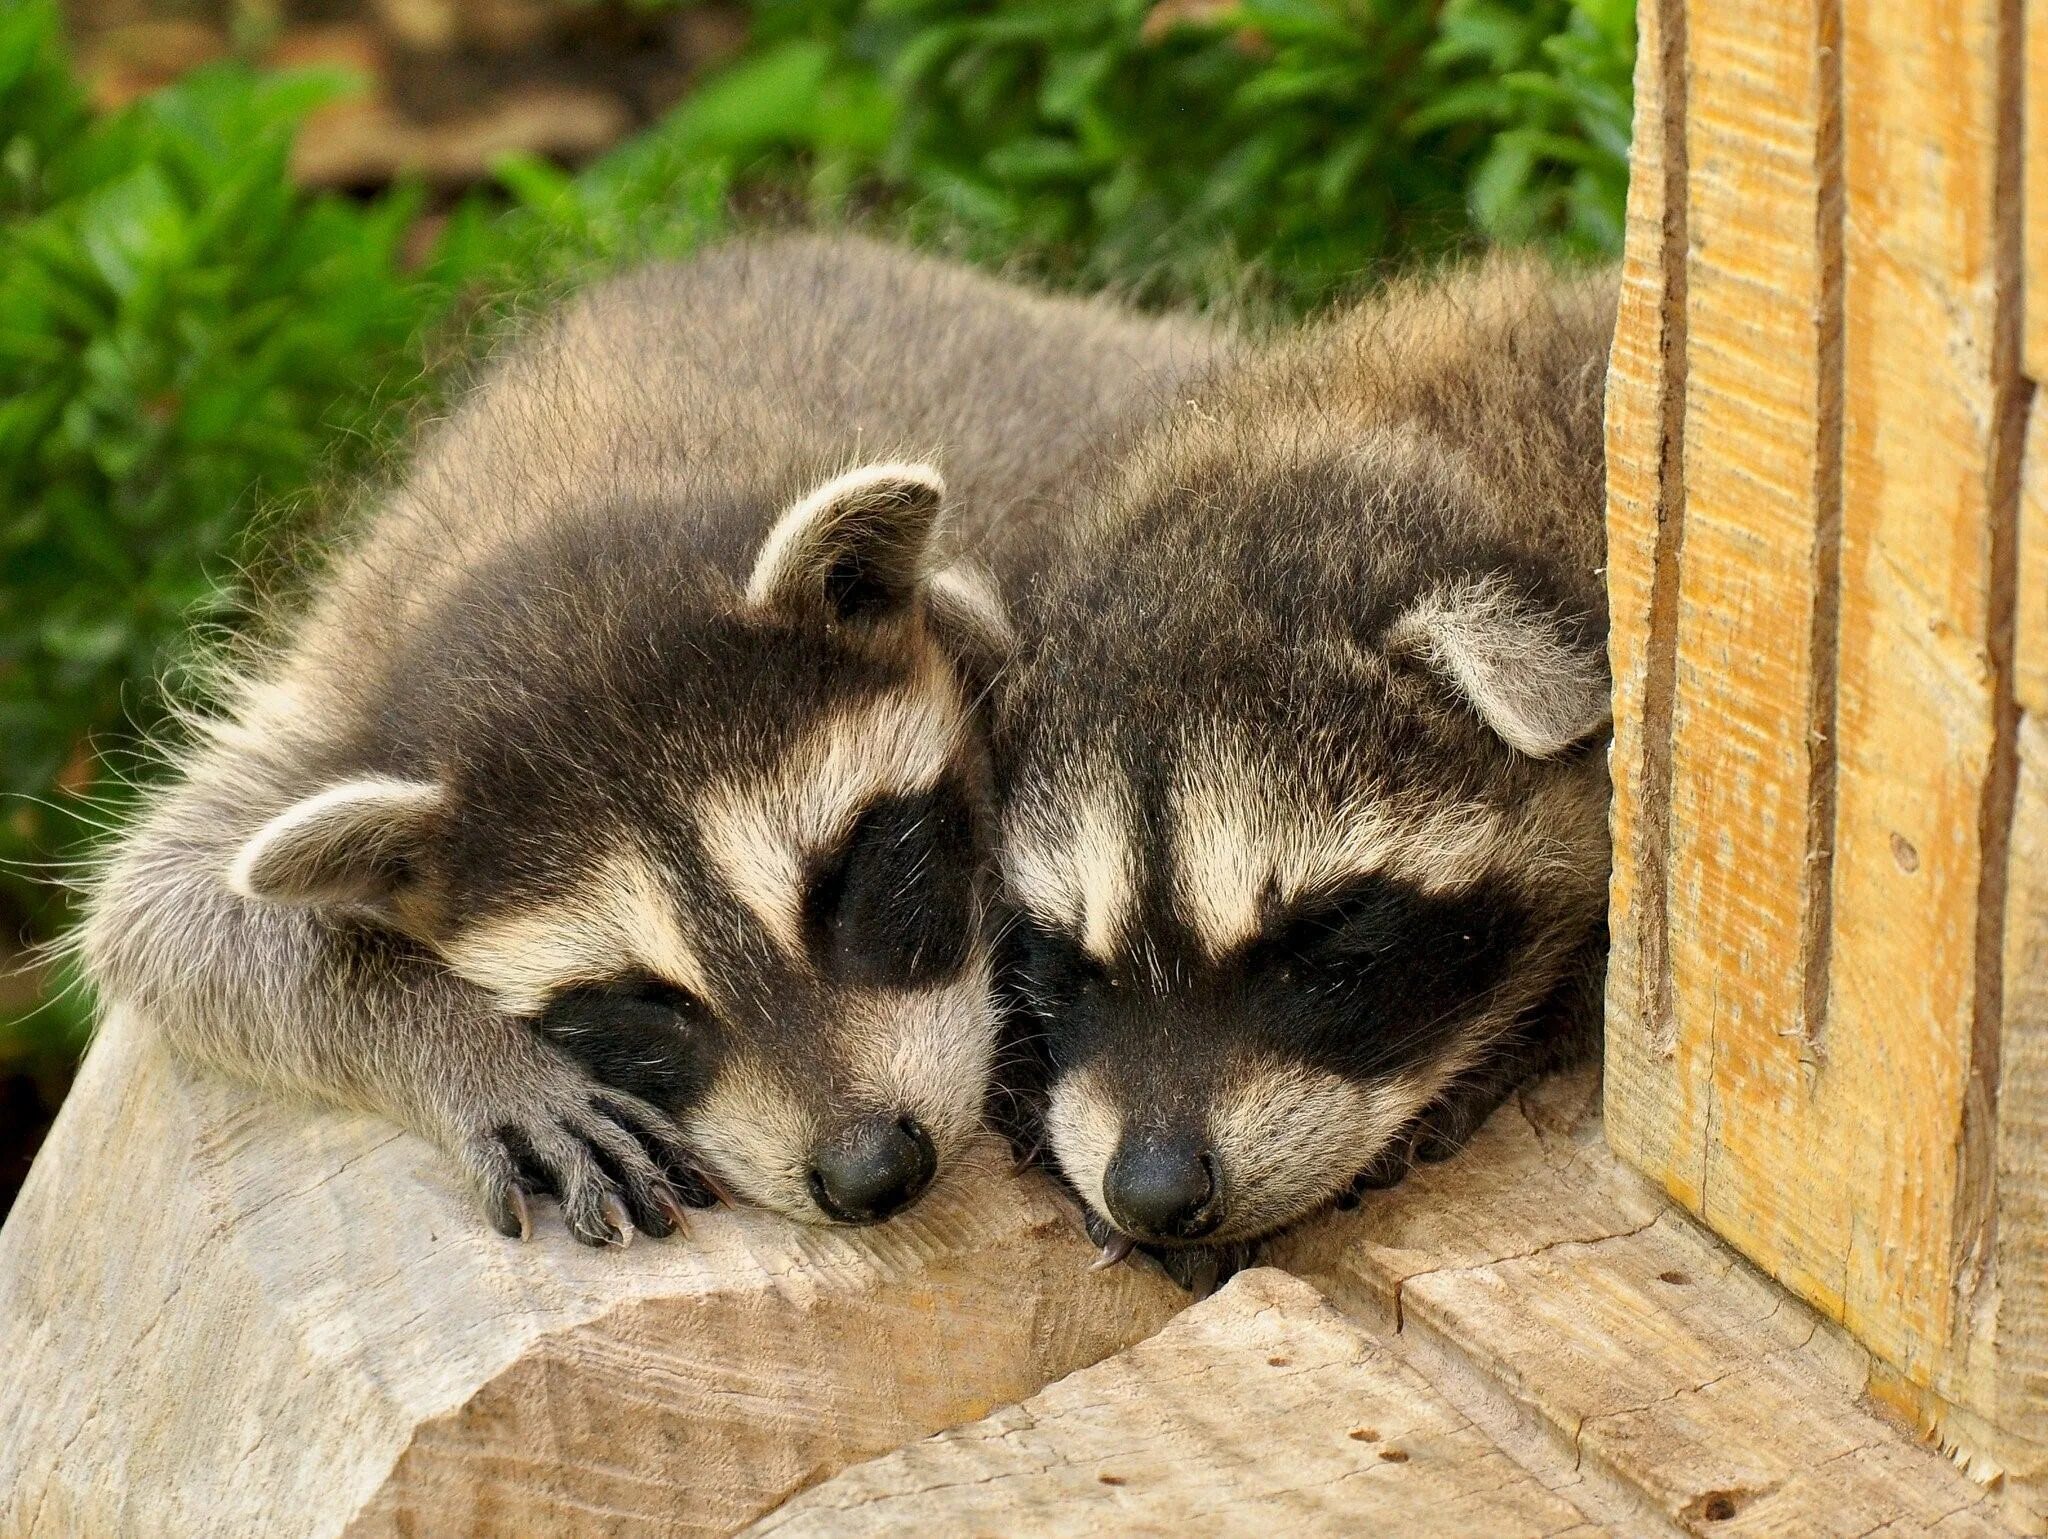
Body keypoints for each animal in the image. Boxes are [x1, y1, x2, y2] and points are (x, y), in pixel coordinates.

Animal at [83, 237, 1212, 1254]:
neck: (552, 521)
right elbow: (162, 912)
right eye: (634, 998)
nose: (873, 1171)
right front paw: (473, 1052)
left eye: (853, 877)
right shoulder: (335, 700)